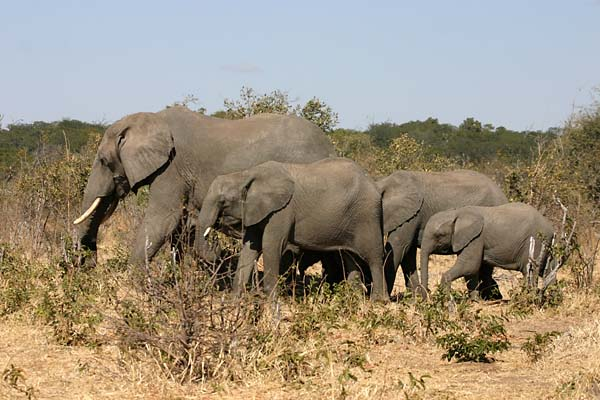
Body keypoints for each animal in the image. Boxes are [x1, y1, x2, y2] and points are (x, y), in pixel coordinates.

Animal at [72, 105, 336, 266]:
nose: (89, 262)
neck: (151, 118)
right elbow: (177, 225)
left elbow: (163, 219)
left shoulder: (172, 167)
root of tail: (330, 147)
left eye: (104, 161)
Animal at [197, 158, 390, 302]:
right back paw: (352, 298)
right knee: (350, 258)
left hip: (367, 216)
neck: (246, 174)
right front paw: (233, 301)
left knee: (373, 256)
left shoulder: (282, 211)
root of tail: (374, 185)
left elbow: (271, 246)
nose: (217, 248)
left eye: (223, 201)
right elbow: (250, 248)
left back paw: (378, 301)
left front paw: (270, 301)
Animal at [420, 202, 556, 296]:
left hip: (537, 241)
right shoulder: (469, 240)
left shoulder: (476, 238)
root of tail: (551, 228)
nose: (428, 293)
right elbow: (471, 271)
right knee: (547, 270)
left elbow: (469, 266)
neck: (457, 212)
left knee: (530, 270)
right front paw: (475, 301)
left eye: (439, 235)